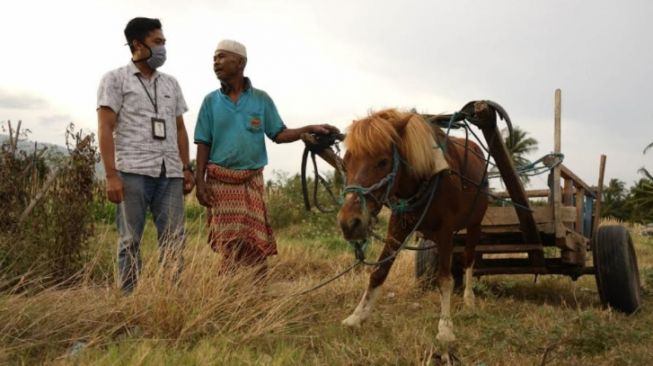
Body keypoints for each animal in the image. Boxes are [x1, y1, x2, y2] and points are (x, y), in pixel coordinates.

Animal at [338, 108, 486, 346]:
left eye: (383, 162)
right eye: (345, 162)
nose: (349, 223)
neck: (424, 178)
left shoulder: (446, 232)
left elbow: (445, 279)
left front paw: (445, 328)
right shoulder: (397, 227)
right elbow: (379, 271)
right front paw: (357, 315)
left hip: (475, 225)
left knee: (469, 260)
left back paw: (469, 299)